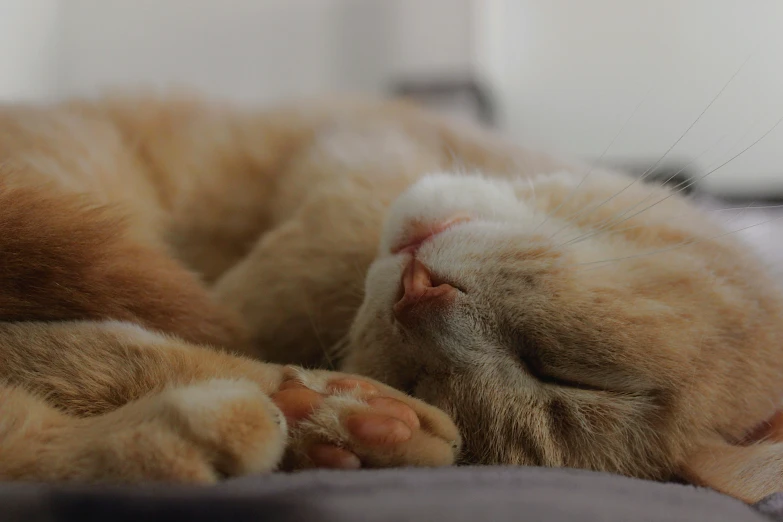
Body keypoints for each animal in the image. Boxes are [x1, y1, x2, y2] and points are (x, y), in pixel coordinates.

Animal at [0, 95, 780, 502]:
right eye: (567, 373)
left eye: (423, 372)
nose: (416, 293)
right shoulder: (367, 139)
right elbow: (297, 268)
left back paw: (316, 422)